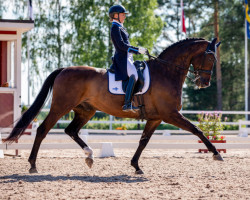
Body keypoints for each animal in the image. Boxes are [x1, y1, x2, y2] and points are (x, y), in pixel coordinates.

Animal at [3, 37, 223, 173]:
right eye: (211, 57)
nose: (204, 83)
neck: (166, 72)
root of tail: (64, 69)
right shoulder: (170, 114)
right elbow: (197, 130)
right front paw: (216, 154)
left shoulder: (156, 117)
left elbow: (143, 141)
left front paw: (136, 166)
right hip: (61, 107)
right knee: (43, 130)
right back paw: (33, 165)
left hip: (86, 111)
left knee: (71, 130)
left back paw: (90, 155)